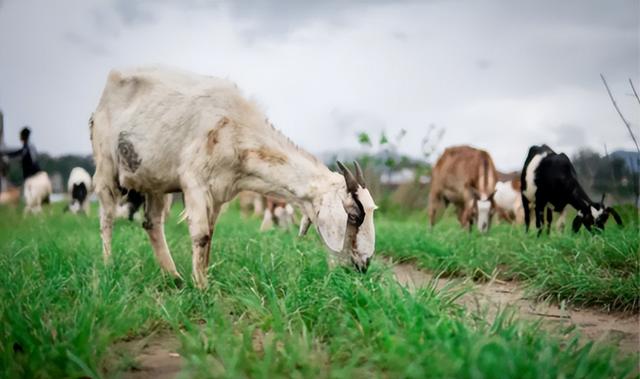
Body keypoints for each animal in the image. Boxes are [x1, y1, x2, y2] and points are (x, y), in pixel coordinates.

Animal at [92, 67, 378, 288]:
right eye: (354, 216)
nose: (364, 264)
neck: (236, 130)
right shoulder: (194, 182)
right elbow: (201, 235)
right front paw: (202, 288)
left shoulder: (219, 193)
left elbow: (211, 234)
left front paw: (203, 277)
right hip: (106, 164)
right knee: (107, 217)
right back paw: (107, 264)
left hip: (155, 182)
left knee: (152, 223)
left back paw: (174, 277)